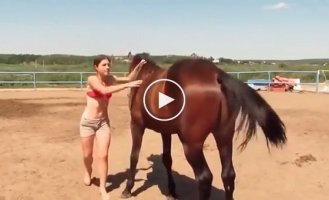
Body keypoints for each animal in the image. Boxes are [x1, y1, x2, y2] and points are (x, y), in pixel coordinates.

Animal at [119, 53, 286, 200]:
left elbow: (134, 156)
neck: (144, 79)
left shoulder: (137, 125)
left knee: (205, 178)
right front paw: (171, 192)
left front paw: (128, 189)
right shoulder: (165, 132)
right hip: (224, 138)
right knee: (228, 175)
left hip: (192, 145)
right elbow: (167, 159)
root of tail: (216, 75)